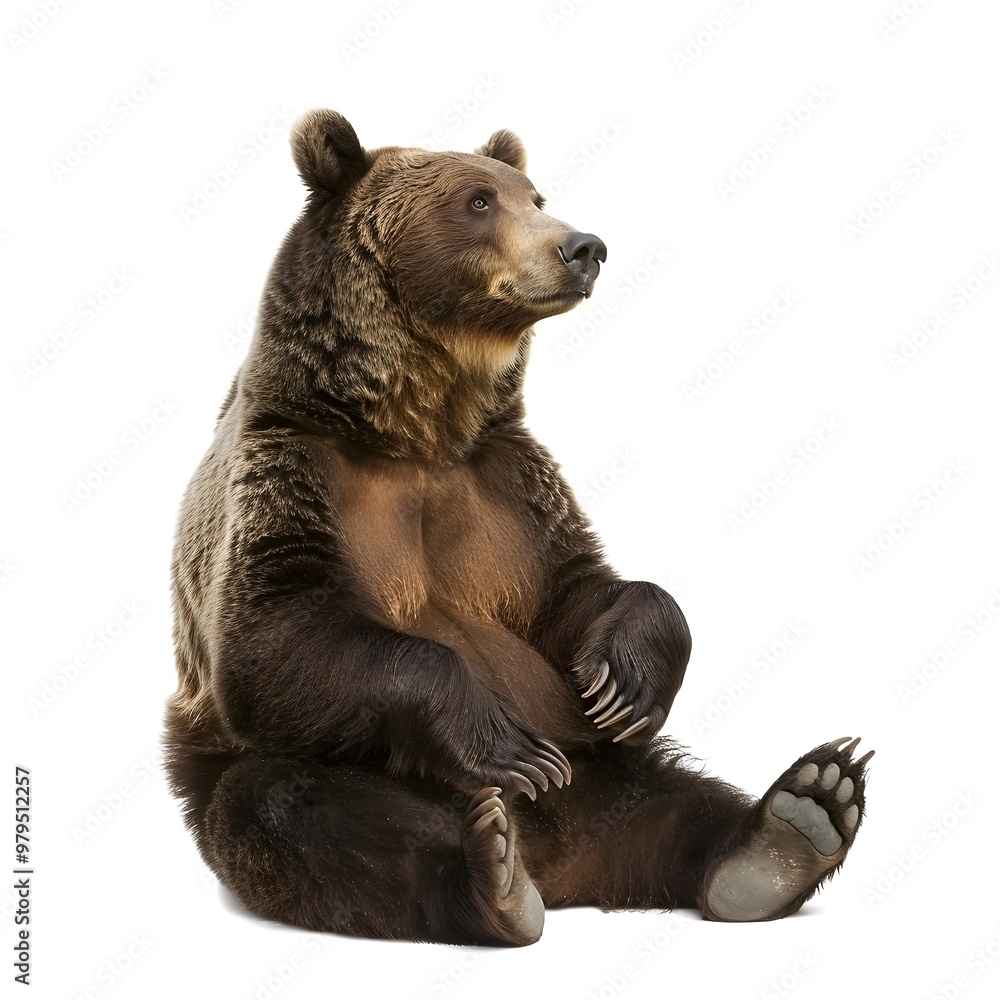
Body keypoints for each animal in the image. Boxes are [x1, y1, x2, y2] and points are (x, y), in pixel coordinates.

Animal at [164, 109, 873, 947]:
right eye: (477, 201)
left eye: (535, 196)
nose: (585, 246)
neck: (417, 425)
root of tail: (565, 870)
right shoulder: (292, 472)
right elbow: (274, 636)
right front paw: (505, 743)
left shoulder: (508, 488)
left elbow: (576, 592)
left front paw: (625, 680)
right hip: (300, 776)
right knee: (293, 808)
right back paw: (491, 875)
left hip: (609, 776)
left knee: (680, 802)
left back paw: (793, 822)